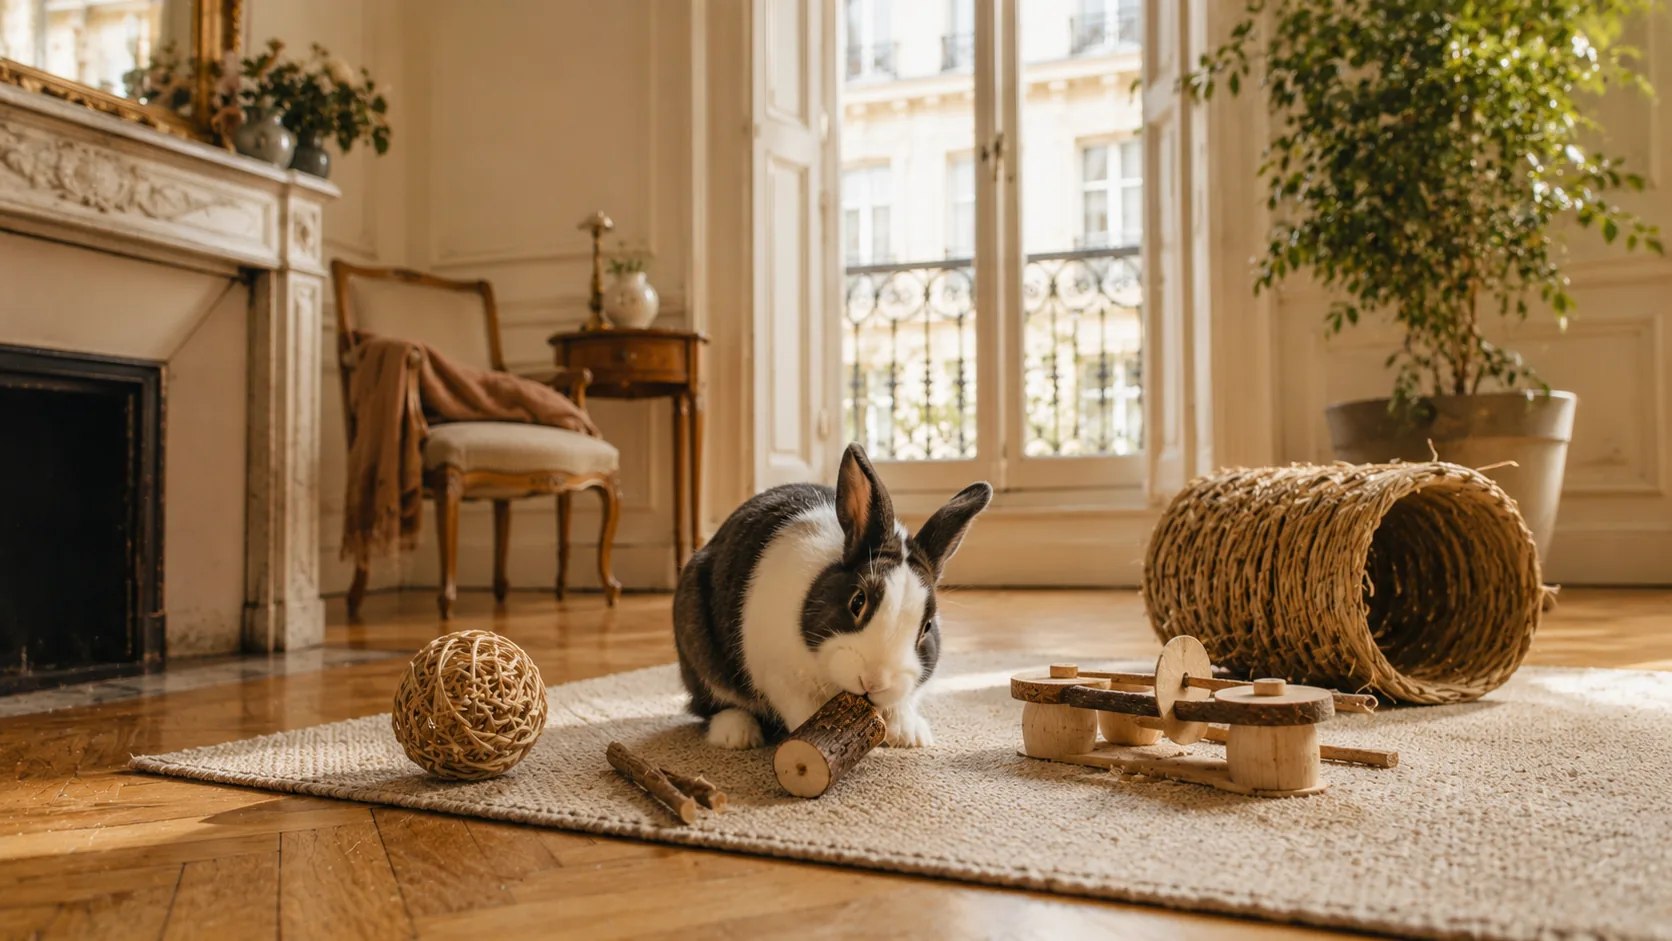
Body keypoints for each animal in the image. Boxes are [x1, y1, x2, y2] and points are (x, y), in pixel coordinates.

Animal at [673, 442, 992, 750]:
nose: (874, 681)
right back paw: (737, 734)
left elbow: (902, 701)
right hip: (697, 640)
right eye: (857, 602)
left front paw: (909, 736)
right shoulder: (781, 677)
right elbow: (802, 709)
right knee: (710, 704)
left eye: (926, 627)